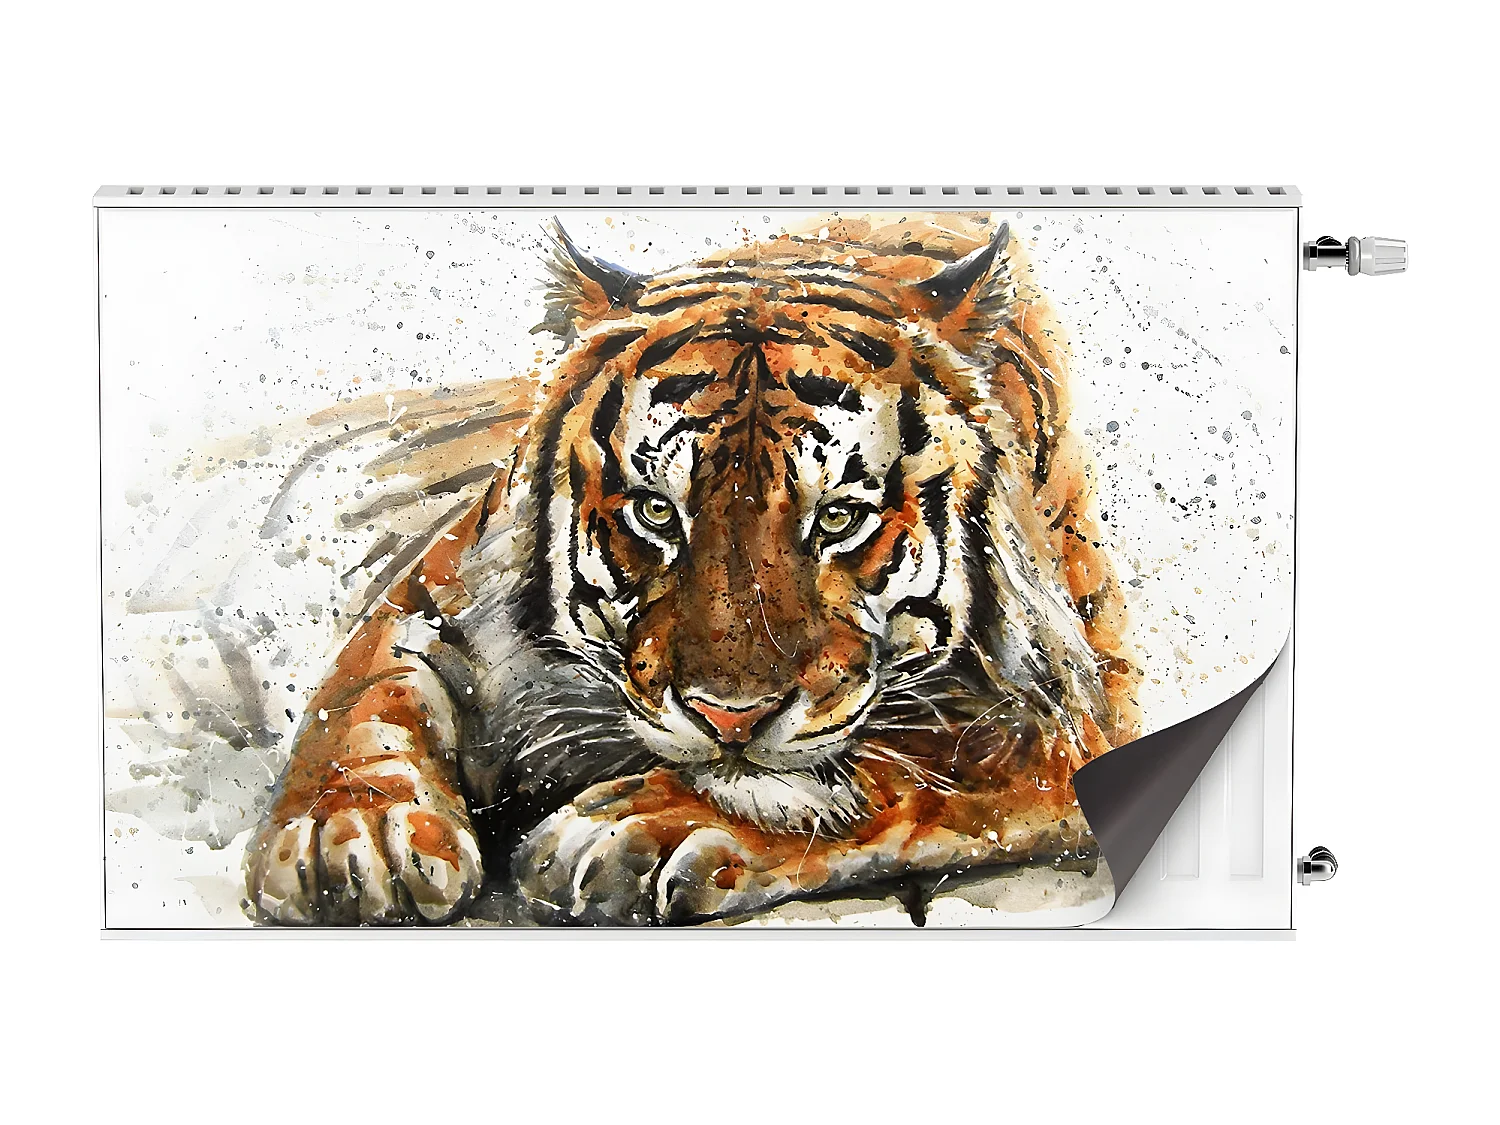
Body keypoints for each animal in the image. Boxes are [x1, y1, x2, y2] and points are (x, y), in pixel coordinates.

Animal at [243, 211, 1140, 926]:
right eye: (656, 511)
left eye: (838, 518)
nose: (729, 719)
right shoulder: (439, 588)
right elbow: (365, 692)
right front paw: (349, 831)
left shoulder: (1072, 715)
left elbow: (901, 766)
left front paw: (639, 827)